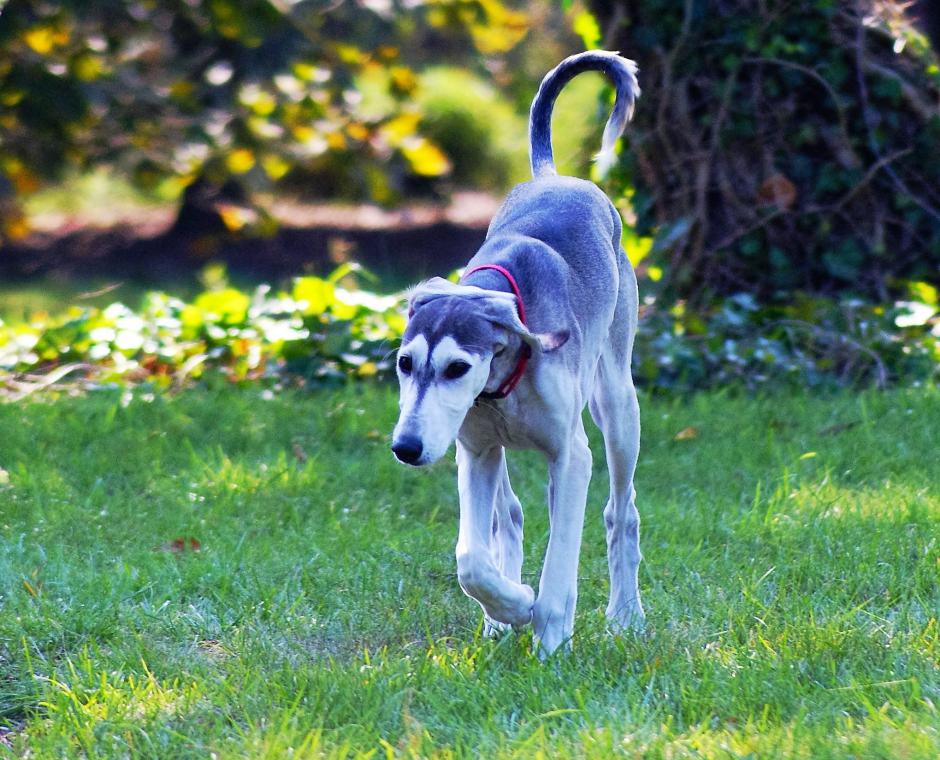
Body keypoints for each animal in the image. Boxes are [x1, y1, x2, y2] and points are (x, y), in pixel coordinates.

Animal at [392, 52, 648, 660]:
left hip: (617, 407)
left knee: (620, 512)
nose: (405, 448)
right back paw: (499, 617)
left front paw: (549, 634)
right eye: (405, 363)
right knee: (507, 515)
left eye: (457, 368)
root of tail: (552, 176)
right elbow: (470, 560)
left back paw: (626, 616)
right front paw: (511, 604)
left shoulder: (571, 459)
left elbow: (561, 565)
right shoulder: (475, 451)